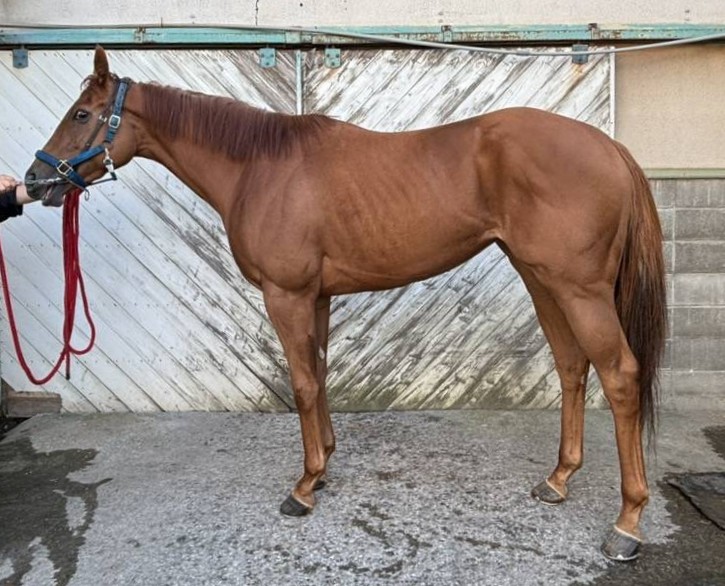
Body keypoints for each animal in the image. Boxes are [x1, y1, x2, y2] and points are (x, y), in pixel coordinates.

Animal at [25, 47, 666, 561]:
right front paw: (326, 465)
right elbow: (321, 373)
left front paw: (304, 487)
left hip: (578, 287)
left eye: (81, 114)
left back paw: (627, 524)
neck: (260, 168)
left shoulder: (285, 295)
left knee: (620, 376)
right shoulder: (317, 297)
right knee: (572, 365)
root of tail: (610, 147)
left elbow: (303, 383)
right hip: (541, 279)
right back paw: (558, 481)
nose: (34, 181)